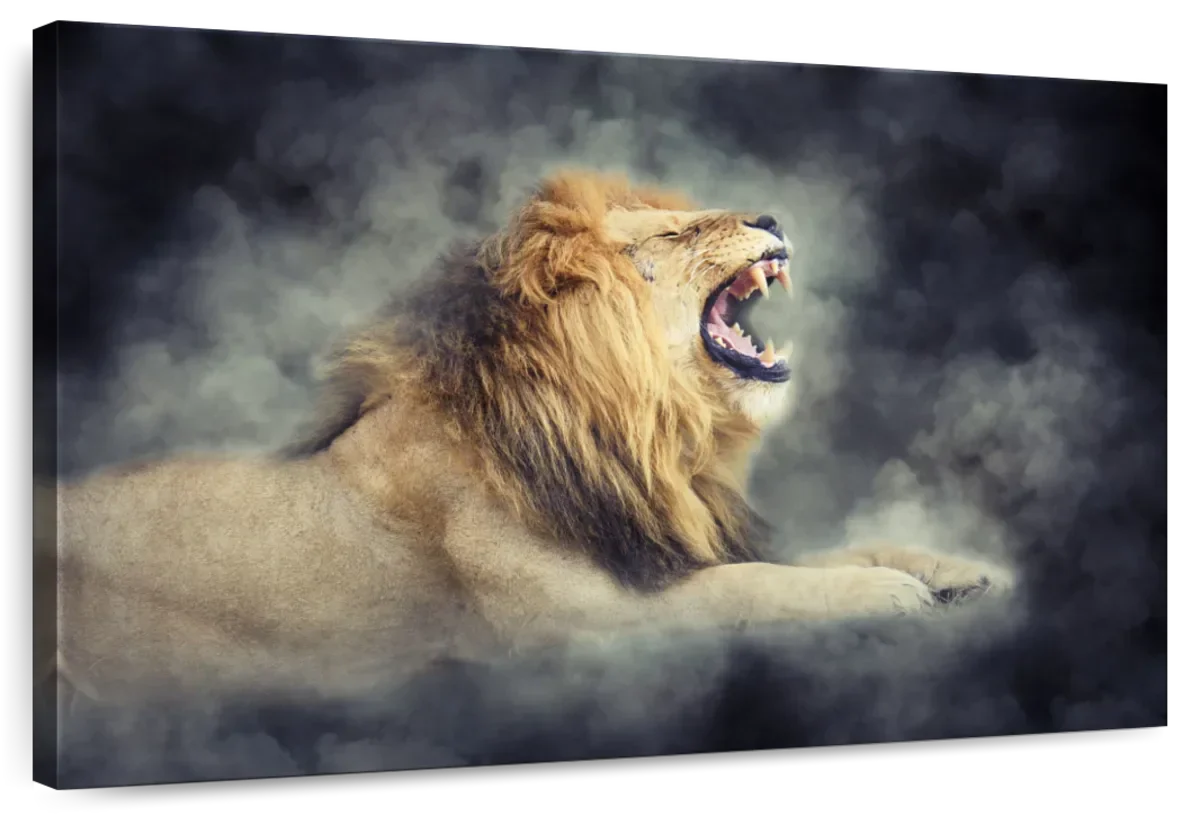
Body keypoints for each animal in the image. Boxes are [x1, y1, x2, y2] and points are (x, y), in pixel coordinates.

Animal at [47, 169, 1013, 710]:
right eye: (674, 232)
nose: (771, 216)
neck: (644, 437)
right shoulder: (588, 623)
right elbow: (759, 588)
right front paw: (885, 594)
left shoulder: (661, 548)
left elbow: (826, 551)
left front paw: (956, 569)